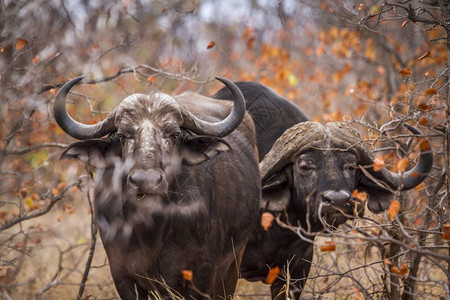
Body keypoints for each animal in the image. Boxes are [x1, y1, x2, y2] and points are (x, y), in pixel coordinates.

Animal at [53, 77, 260, 300]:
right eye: (123, 135)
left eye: (174, 134)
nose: (146, 180)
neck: (151, 231)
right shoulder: (121, 274)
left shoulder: (203, 272)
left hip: (233, 263)